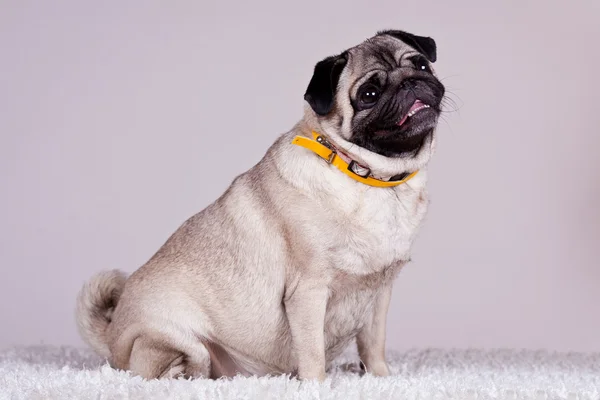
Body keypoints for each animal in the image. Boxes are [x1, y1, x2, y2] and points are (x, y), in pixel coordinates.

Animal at [75, 28, 446, 382]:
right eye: (369, 94)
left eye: (421, 65)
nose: (409, 82)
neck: (370, 179)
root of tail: (111, 334)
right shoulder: (308, 291)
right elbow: (312, 352)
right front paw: (317, 385)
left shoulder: (378, 293)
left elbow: (373, 344)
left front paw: (380, 378)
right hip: (179, 341)